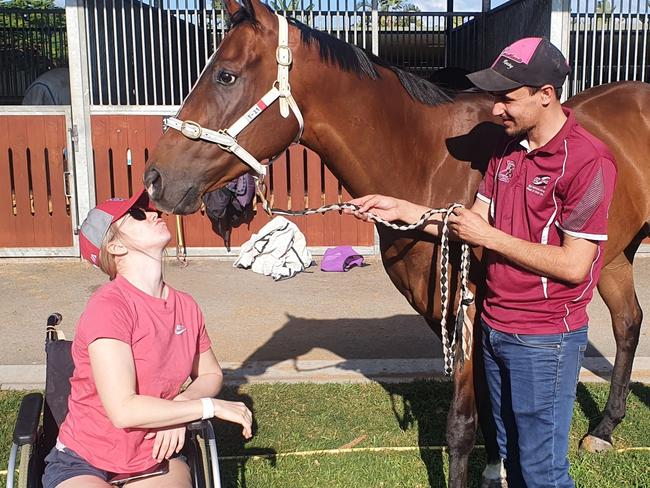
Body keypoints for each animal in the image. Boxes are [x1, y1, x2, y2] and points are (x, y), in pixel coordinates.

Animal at [144, 0, 648, 484]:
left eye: (226, 75)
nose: (154, 178)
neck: (431, 163)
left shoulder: (466, 312)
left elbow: (461, 425)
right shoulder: (453, 314)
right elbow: (490, 406)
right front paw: (497, 467)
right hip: (611, 259)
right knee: (628, 323)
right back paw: (604, 429)